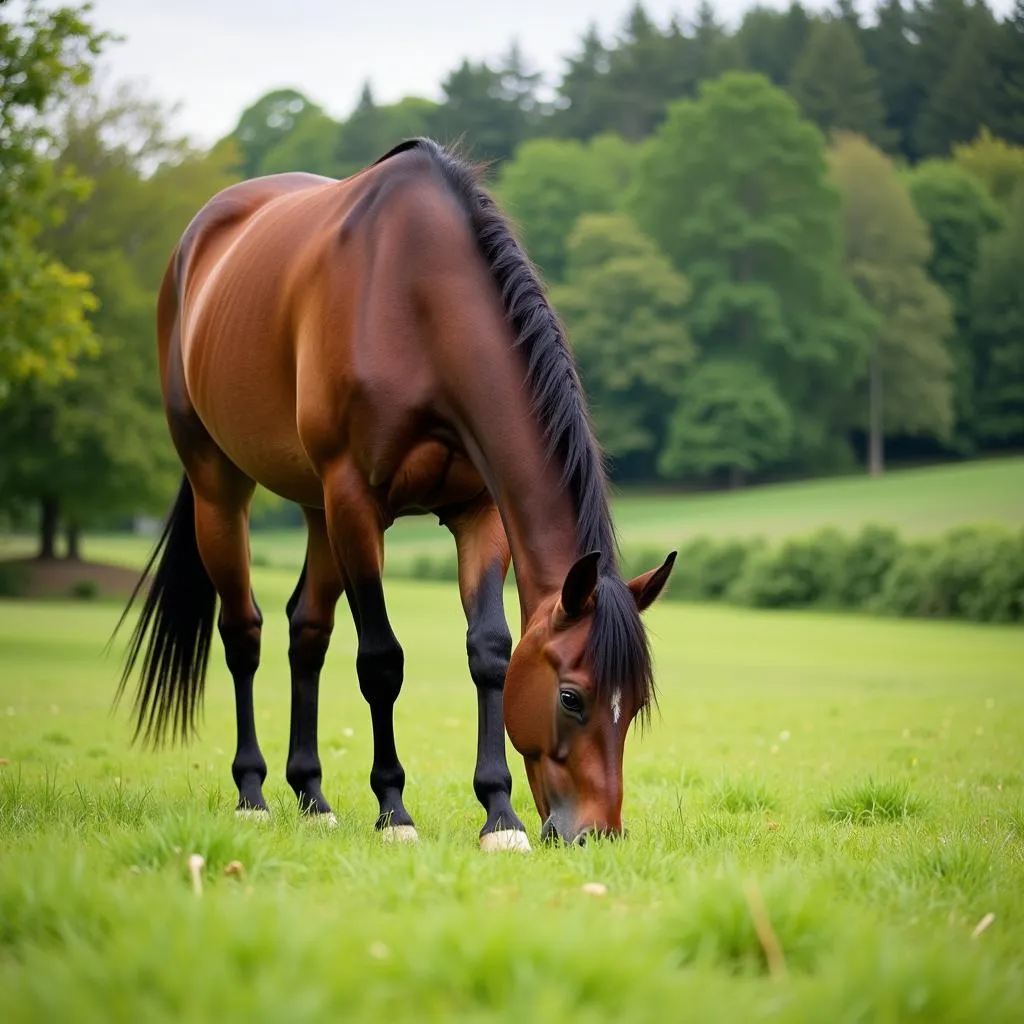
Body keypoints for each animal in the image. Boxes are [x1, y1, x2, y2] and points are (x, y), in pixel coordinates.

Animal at [116, 140, 675, 851]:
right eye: (572, 697)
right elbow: (381, 659)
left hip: (316, 509)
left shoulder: (478, 513)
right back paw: (253, 795)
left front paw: (500, 815)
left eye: (633, 704)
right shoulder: (356, 504)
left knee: (307, 631)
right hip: (223, 487)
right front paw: (394, 811)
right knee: (244, 631)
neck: (418, 301)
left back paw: (313, 797)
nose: (597, 835)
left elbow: (489, 651)